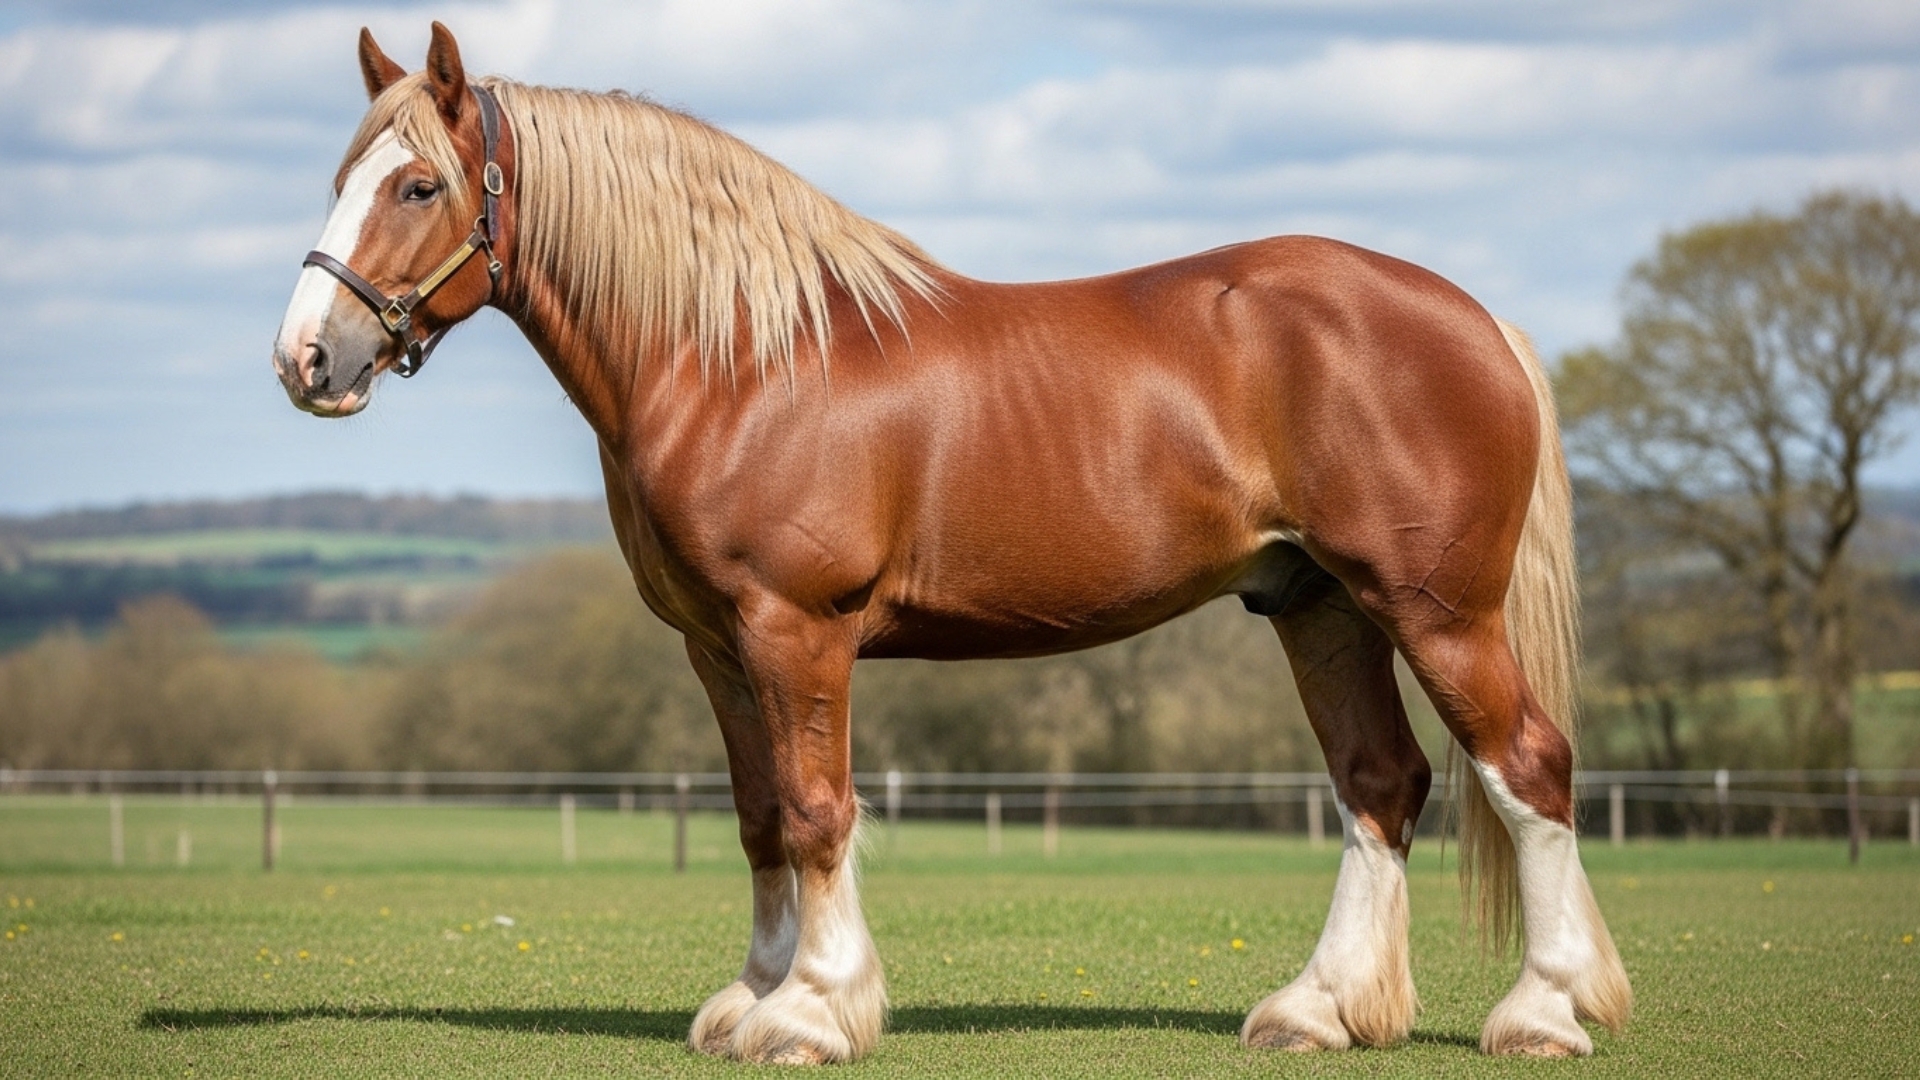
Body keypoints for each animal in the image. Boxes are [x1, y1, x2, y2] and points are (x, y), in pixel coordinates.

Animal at [272, 22, 1630, 1064]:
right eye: (341, 176)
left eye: (417, 186)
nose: (307, 360)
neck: (743, 359)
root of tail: (1474, 317)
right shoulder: (716, 645)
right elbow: (759, 816)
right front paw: (753, 998)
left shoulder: (797, 630)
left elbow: (818, 810)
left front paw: (812, 1014)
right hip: (1321, 607)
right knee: (1379, 785)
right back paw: (1321, 1010)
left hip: (1434, 610)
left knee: (1527, 767)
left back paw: (1545, 1011)